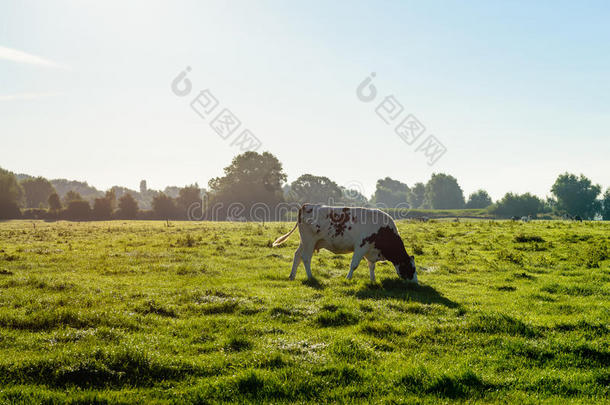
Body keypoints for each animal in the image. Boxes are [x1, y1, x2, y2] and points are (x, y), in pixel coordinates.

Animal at [272, 204, 418, 282]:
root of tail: (306, 205)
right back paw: (311, 277)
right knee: (306, 258)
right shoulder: (361, 246)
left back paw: (292, 276)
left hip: (305, 242)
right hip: (309, 241)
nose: (416, 283)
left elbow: (371, 266)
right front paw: (348, 278)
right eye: (411, 269)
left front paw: (373, 280)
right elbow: (354, 265)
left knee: (297, 255)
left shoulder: (371, 250)